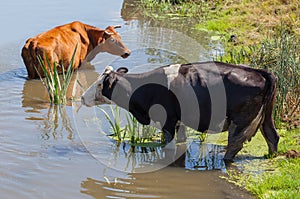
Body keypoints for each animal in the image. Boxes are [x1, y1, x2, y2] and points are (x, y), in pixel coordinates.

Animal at [81, 61, 278, 162]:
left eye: (99, 84)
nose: (82, 97)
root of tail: (257, 71)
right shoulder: (179, 121)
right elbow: (181, 143)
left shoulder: (168, 121)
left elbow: (169, 146)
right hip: (266, 116)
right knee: (272, 135)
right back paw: (271, 156)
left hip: (241, 120)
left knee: (235, 143)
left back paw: (224, 160)